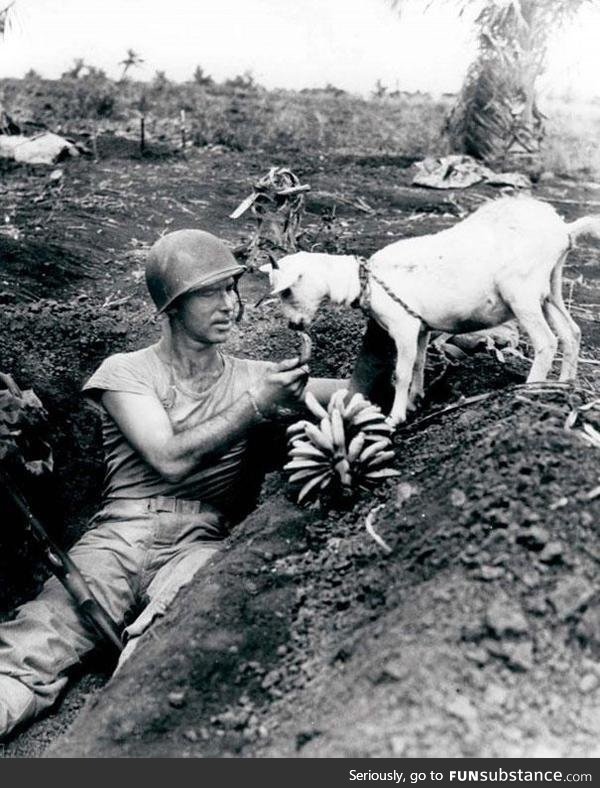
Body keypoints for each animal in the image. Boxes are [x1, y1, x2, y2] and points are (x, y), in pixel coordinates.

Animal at [262, 196, 600, 424]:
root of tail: (564, 230)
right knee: (571, 332)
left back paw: (530, 390)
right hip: (549, 289)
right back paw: (562, 385)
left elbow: (401, 372)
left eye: (287, 291)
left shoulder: (404, 326)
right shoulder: (421, 328)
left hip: (522, 292)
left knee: (546, 341)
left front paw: (395, 417)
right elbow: (418, 364)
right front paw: (415, 401)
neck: (364, 280)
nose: (293, 326)